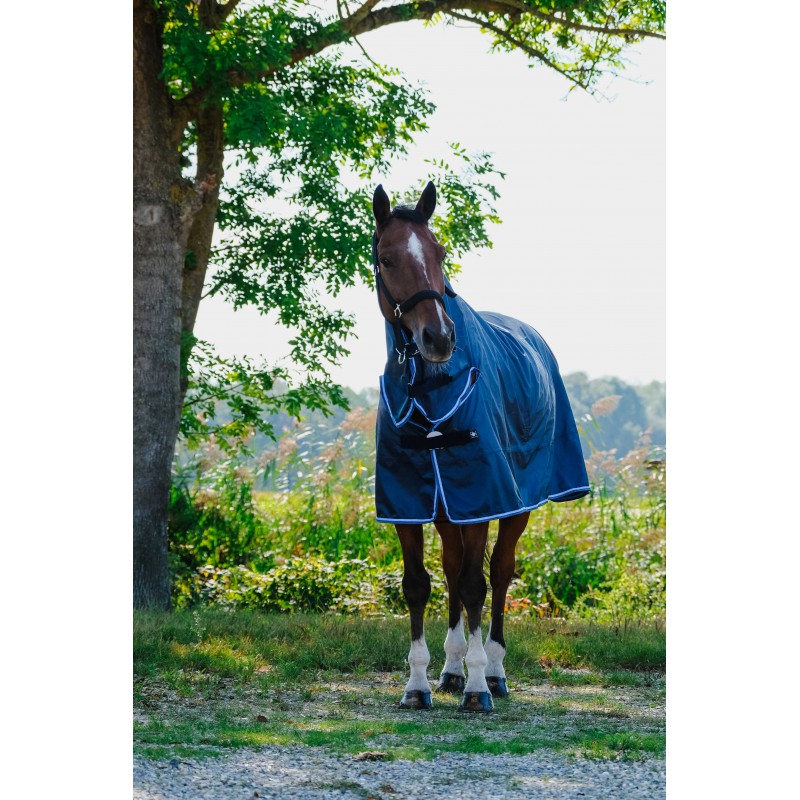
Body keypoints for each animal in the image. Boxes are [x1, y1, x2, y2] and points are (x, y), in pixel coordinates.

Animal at [371, 181, 591, 713]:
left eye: (439, 252)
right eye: (387, 258)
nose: (438, 337)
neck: (430, 388)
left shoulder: (481, 498)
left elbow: (477, 584)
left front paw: (476, 689)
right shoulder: (409, 503)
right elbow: (419, 585)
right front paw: (418, 684)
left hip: (512, 507)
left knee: (498, 572)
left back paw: (492, 671)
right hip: (449, 510)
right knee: (453, 572)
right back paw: (451, 669)